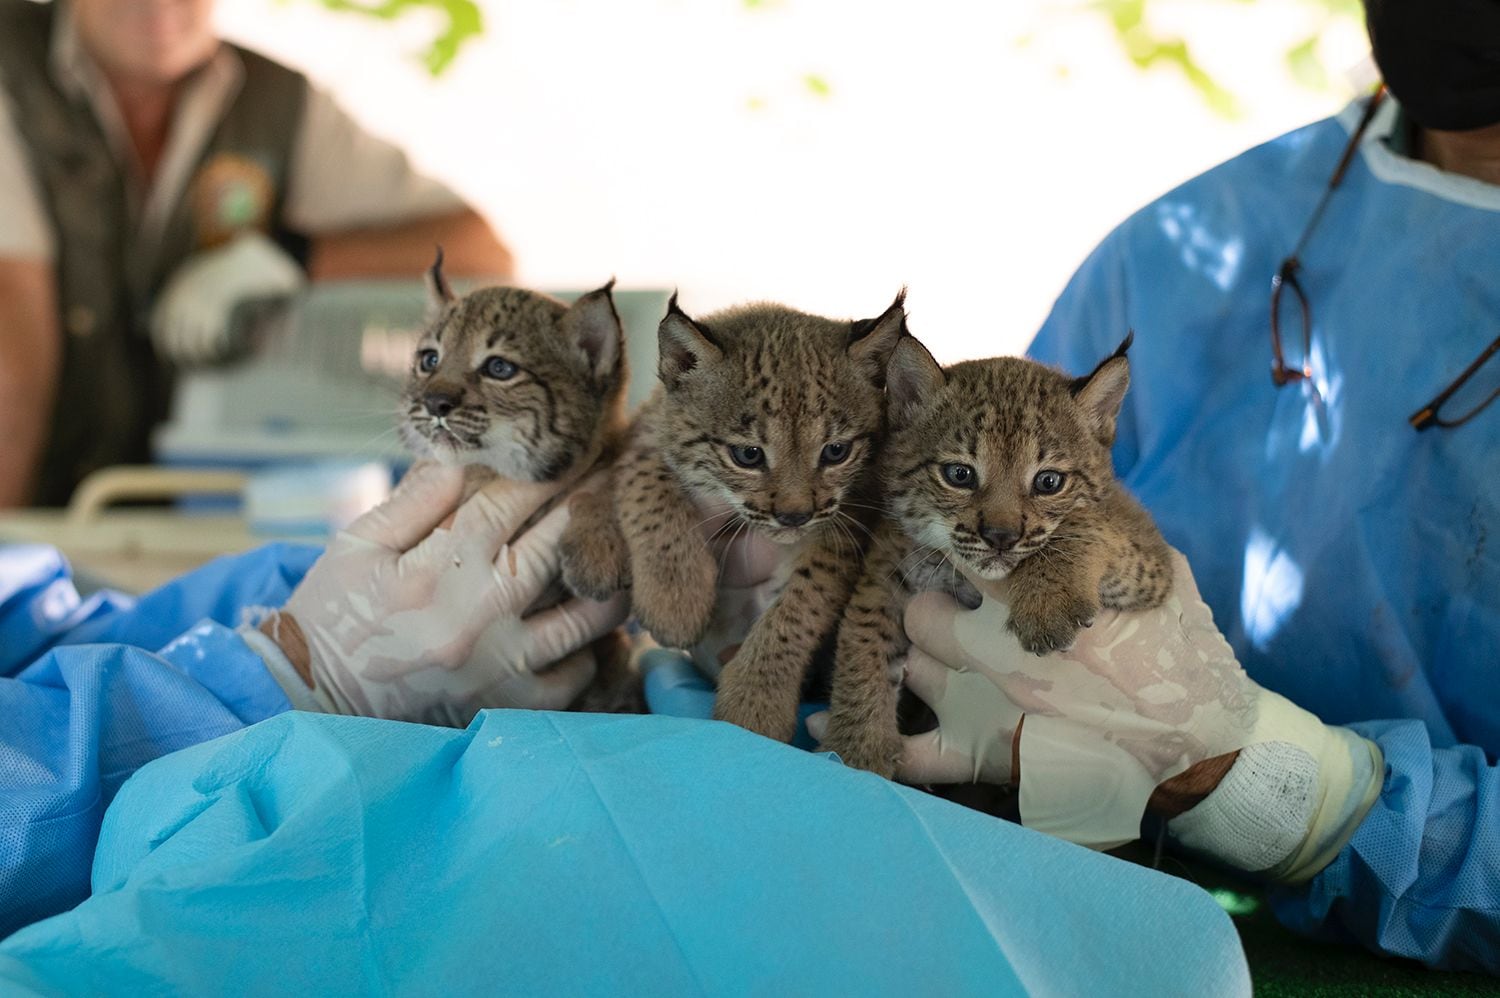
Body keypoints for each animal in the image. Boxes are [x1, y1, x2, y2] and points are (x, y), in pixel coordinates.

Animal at [399, 250, 639, 708]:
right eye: (429, 361)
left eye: (499, 368)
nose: (433, 402)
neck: (496, 471)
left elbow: (605, 478)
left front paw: (596, 548)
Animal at [561, 288, 900, 738]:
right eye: (748, 455)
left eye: (836, 452)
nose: (794, 516)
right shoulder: (645, 432)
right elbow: (646, 480)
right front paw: (675, 598)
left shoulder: (847, 519)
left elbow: (800, 607)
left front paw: (756, 703)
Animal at [822, 330, 1170, 774]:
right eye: (959, 475)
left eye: (1049, 482)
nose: (1000, 536)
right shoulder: (888, 566)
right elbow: (862, 641)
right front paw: (855, 751)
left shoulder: (1152, 559)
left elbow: (1084, 522)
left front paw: (1048, 602)